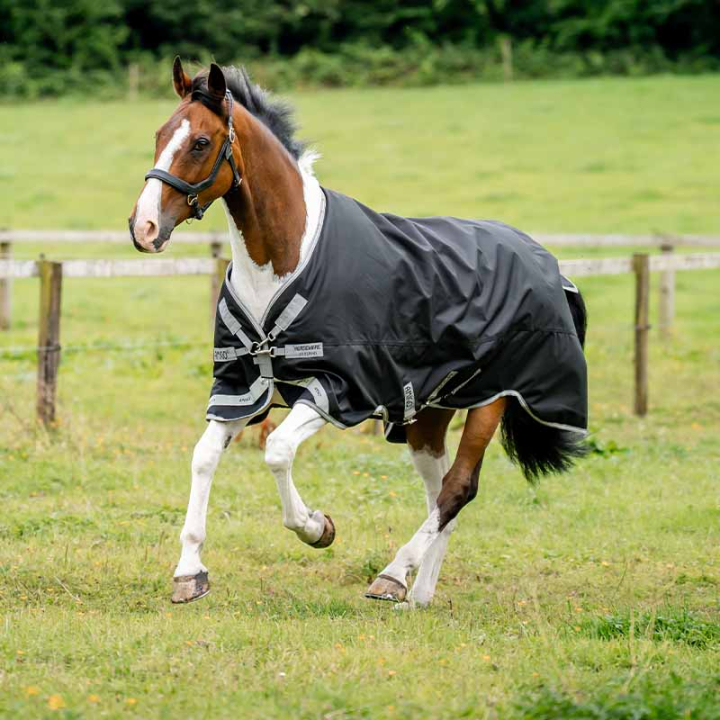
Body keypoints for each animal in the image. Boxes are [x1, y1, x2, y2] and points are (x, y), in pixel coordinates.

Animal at [129, 59, 589, 608]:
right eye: (159, 135)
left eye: (200, 142)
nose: (144, 228)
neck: (283, 260)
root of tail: (546, 261)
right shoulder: (242, 386)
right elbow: (203, 458)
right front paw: (189, 573)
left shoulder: (336, 388)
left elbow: (277, 451)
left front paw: (316, 527)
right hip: (428, 413)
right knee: (440, 495)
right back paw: (418, 595)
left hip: (492, 398)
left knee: (459, 487)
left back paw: (392, 576)